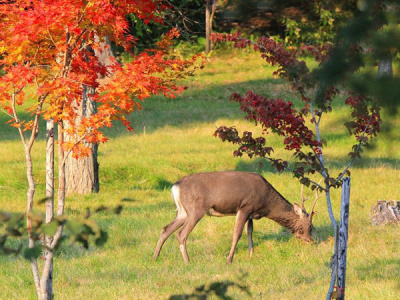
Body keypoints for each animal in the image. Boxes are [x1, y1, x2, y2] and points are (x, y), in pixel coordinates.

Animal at [153, 170, 322, 264]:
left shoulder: (251, 213)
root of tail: (175, 186)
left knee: (165, 229)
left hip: (183, 211)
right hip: (195, 210)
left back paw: (155, 257)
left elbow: (250, 233)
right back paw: (188, 261)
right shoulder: (245, 207)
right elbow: (237, 234)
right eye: (308, 226)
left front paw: (251, 255)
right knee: (181, 234)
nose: (310, 241)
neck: (266, 203)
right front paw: (229, 260)